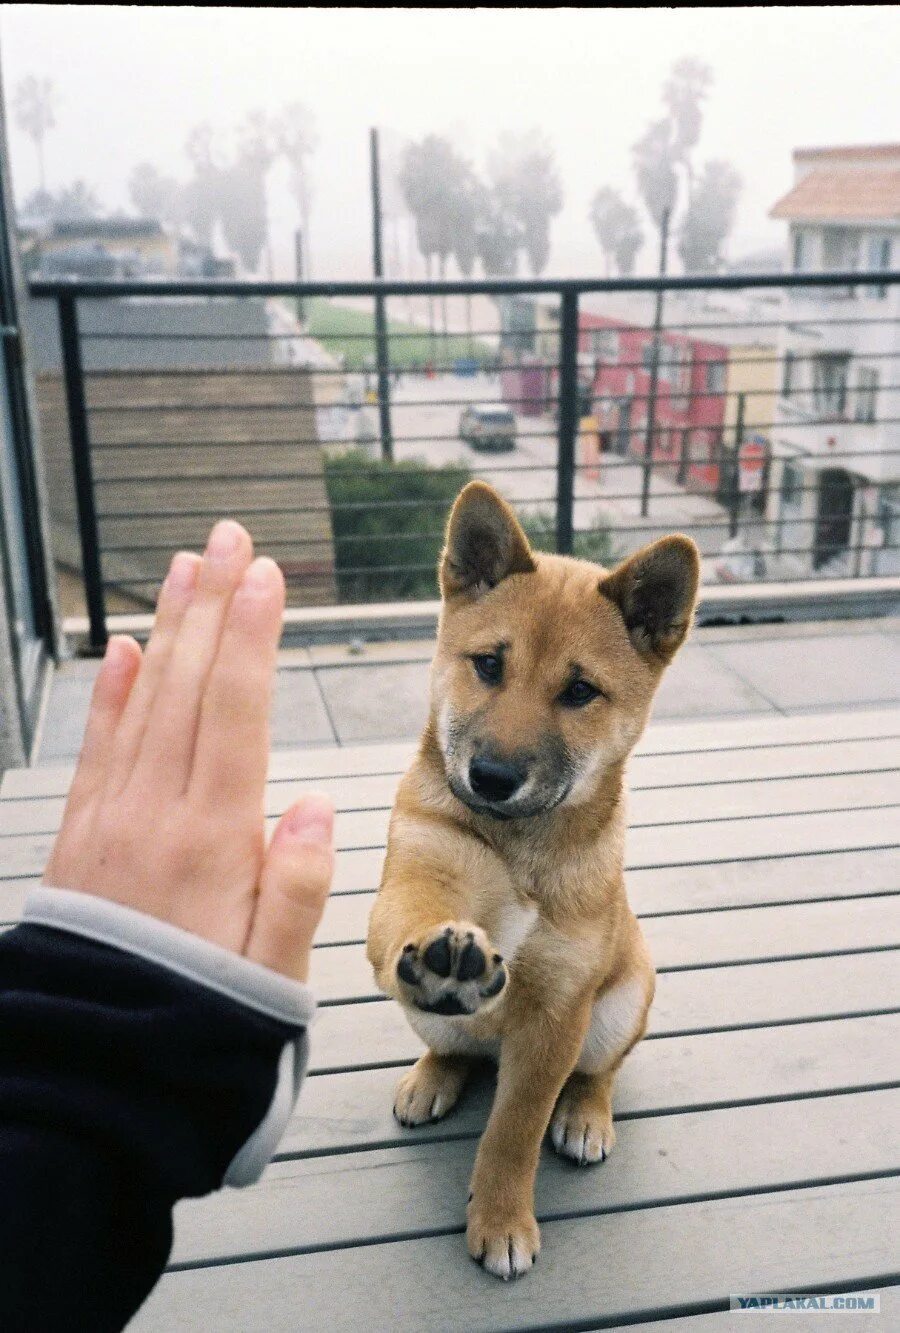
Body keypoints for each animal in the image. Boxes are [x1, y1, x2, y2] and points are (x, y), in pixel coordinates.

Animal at [365, 482, 704, 1279]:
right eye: (488, 664)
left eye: (580, 691)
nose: (490, 776)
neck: (517, 846)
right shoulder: (410, 887)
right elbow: (410, 919)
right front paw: (441, 955)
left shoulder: (556, 1013)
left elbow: (514, 1131)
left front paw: (501, 1218)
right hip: (427, 1014)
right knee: (454, 1044)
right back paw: (433, 1071)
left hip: (621, 1004)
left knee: (599, 1071)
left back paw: (584, 1114)